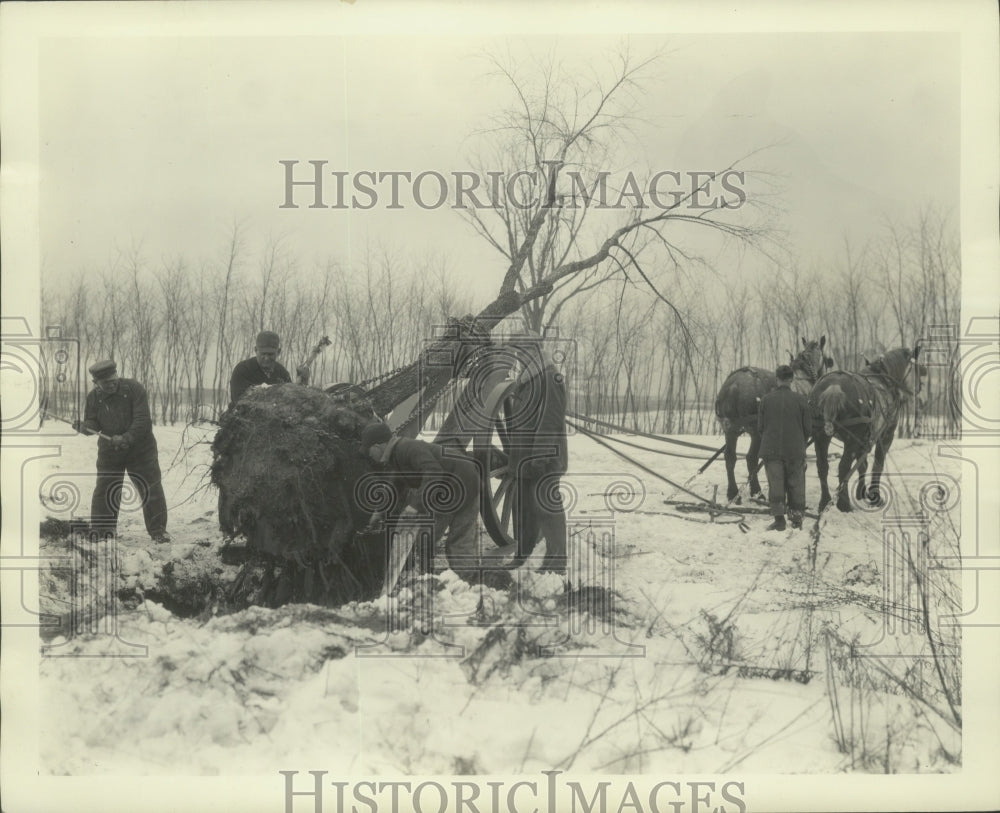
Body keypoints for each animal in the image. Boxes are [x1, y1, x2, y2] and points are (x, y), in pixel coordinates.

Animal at [712, 334, 836, 502]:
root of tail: (734, 386)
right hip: (755, 432)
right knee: (750, 458)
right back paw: (754, 492)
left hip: (732, 429)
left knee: (732, 458)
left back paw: (736, 493)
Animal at [808, 346, 924, 510]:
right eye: (917, 368)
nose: (920, 386)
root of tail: (834, 386)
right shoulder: (885, 435)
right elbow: (877, 464)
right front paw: (875, 495)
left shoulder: (864, 439)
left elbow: (862, 465)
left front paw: (861, 492)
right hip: (851, 438)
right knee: (844, 467)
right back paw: (844, 504)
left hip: (821, 435)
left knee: (823, 466)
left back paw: (825, 501)